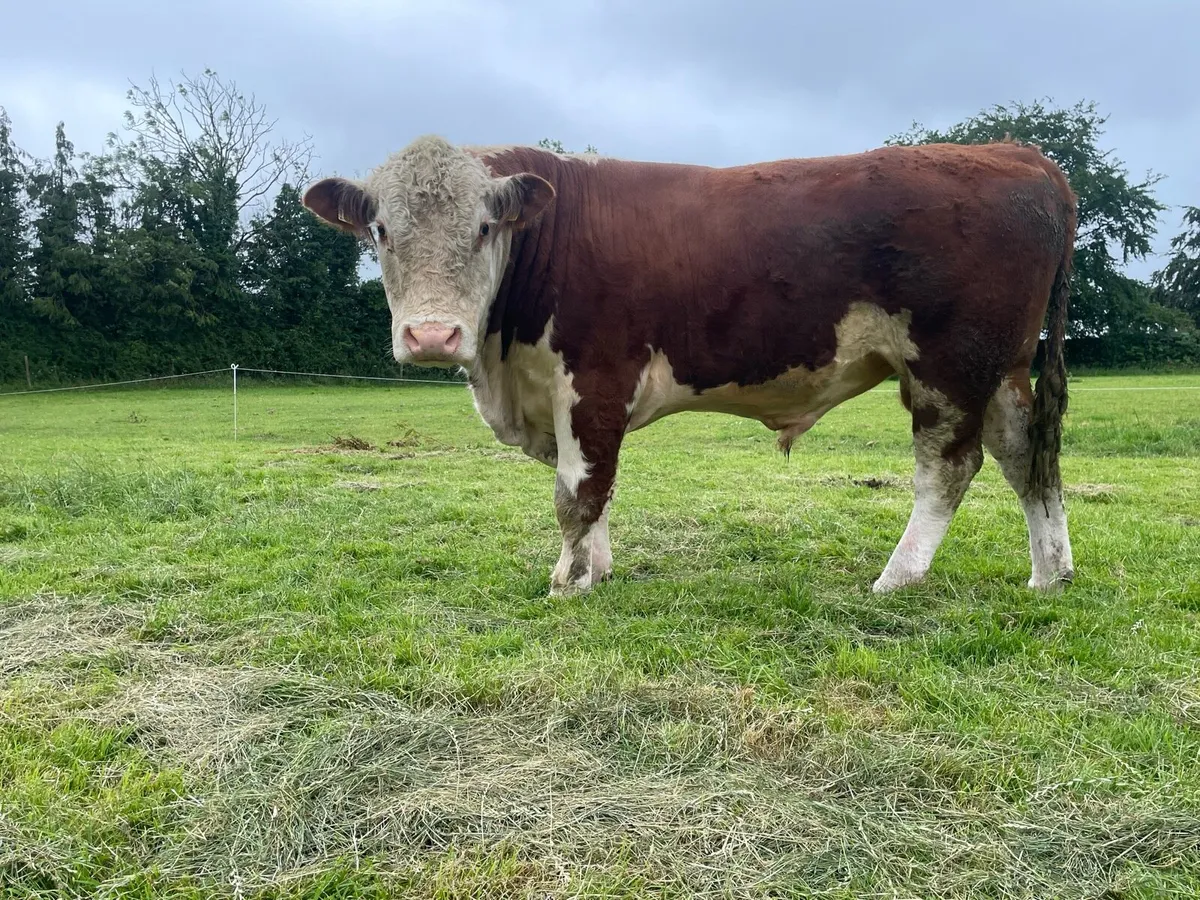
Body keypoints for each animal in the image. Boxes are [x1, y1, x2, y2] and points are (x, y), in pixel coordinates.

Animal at [302, 135, 1076, 597]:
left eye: (484, 227)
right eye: (380, 231)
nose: (432, 335)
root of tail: (1020, 155)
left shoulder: (596, 377)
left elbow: (577, 492)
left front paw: (566, 582)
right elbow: (593, 489)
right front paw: (595, 570)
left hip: (950, 365)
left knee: (949, 467)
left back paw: (898, 576)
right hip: (1001, 369)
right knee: (1026, 457)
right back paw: (1050, 574)